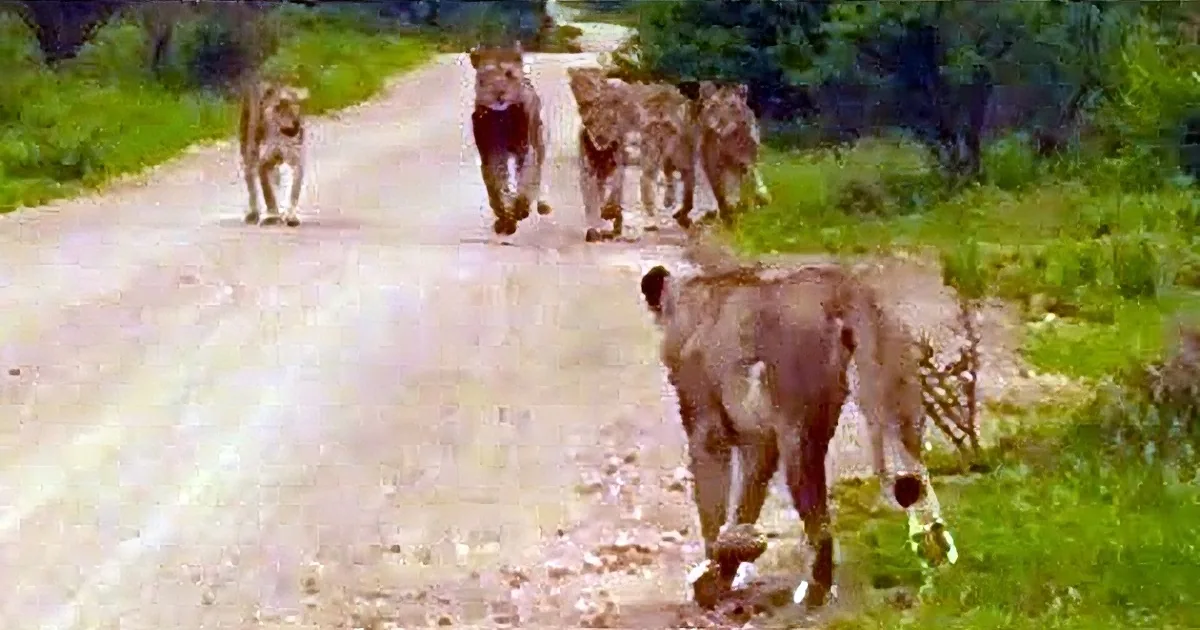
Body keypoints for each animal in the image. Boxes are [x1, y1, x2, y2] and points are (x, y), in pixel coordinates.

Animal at [240, 80, 309, 227]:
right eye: (278, 107)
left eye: (294, 105)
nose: (294, 125)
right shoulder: (263, 162)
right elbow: (268, 192)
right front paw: (273, 216)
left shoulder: (296, 161)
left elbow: (294, 191)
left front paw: (291, 216)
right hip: (249, 150)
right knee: (250, 181)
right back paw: (253, 214)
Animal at [469, 42, 551, 236]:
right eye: (483, 79)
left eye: (509, 74)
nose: (499, 95)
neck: (501, 118)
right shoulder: (491, 154)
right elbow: (496, 186)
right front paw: (504, 217)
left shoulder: (525, 149)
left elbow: (526, 179)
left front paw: (520, 209)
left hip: (538, 142)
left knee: (538, 173)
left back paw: (540, 205)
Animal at [639, 256, 954, 610]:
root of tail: (842, 285)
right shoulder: (758, 440)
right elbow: (747, 501)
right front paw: (731, 563)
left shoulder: (709, 428)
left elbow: (714, 509)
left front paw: (713, 579)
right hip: (896, 402)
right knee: (921, 489)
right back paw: (940, 570)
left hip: (797, 433)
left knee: (822, 524)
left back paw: (815, 593)